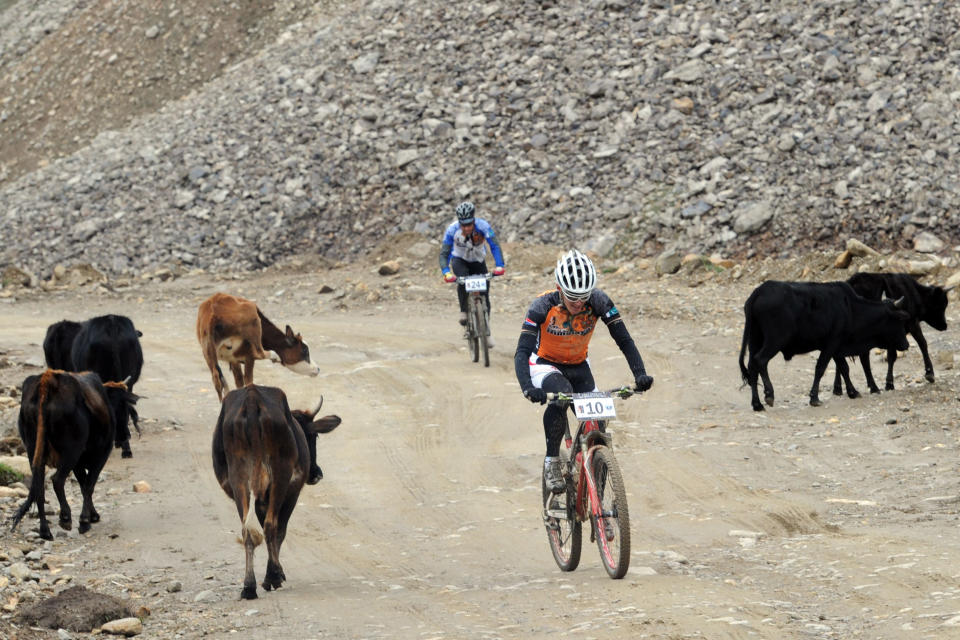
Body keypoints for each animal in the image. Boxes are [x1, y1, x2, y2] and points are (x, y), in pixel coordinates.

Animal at [10, 370, 137, 540]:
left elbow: (83, 485)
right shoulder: (100, 456)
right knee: (57, 480)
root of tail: (48, 379)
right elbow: (88, 486)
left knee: (39, 488)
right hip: (71, 452)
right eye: (124, 406)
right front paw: (86, 520)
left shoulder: (78, 464)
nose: (125, 435)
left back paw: (45, 531)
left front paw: (92, 515)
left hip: (33, 449)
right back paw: (66, 517)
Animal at [211, 384, 342, 600]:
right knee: (271, 526)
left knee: (248, 530)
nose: (316, 473)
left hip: (239, 480)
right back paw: (273, 576)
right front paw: (275, 574)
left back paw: (249, 586)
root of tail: (252, 399)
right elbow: (280, 531)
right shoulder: (292, 493)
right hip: (280, 477)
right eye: (313, 436)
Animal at [744, 280, 908, 410]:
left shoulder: (837, 347)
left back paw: (757, 404)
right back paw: (769, 395)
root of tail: (760, 291)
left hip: (755, 340)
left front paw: (852, 392)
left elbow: (844, 369)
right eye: (899, 319)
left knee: (752, 366)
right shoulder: (832, 344)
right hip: (775, 341)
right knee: (760, 360)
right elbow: (821, 368)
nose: (906, 345)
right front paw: (814, 398)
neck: (850, 309)